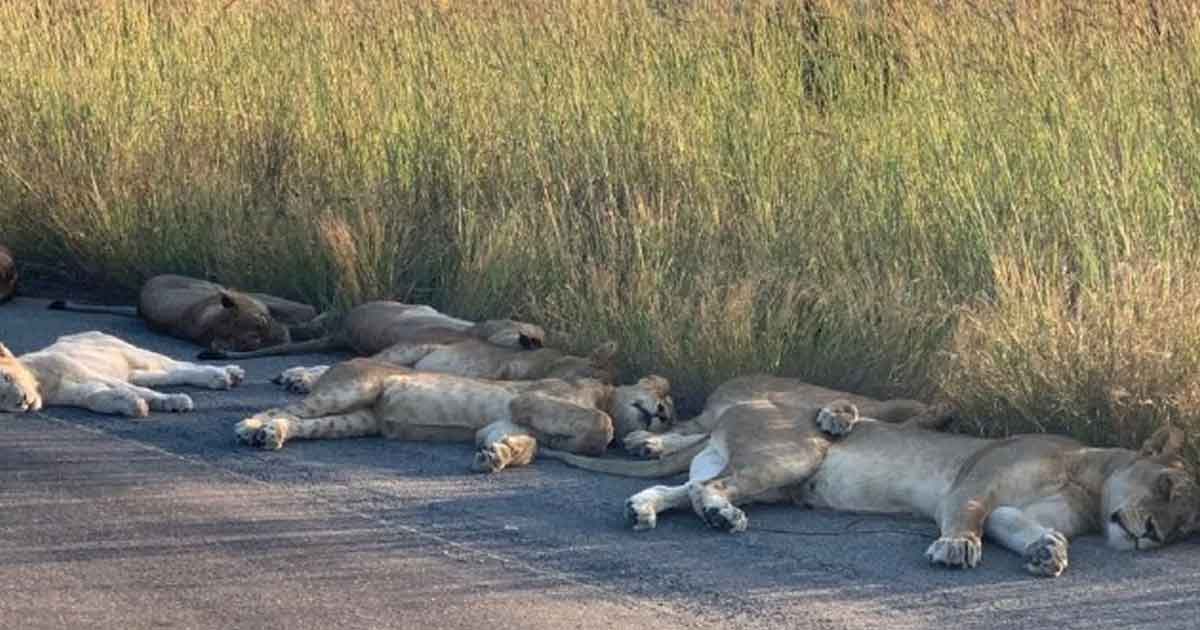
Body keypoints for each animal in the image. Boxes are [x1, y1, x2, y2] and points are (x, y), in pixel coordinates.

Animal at [0, 331, 246, 417]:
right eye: (1, 399)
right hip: (137, 371)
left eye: (6, 377)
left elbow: (138, 391)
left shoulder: (86, 372)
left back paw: (225, 374)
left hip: (135, 353)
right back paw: (228, 376)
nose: (22, 401)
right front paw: (133, 406)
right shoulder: (80, 392)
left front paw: (174, 401)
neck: (42, 384)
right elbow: (97, 398)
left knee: (180, 365)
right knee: (169, 375)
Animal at [233, 357, 674, 473]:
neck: (605, 394)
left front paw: (496, 457)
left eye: (671, 415)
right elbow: (603, 425)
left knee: (301, 422)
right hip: (353, 387)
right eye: (662, 397)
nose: (661, 415)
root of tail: (344, 361)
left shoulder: (500, 423)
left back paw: (272, 435)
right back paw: (248, 427)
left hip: (354, 421)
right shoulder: (528, 399)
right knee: (283, 407)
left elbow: (524, 446)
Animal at [608, 397, 1200, 578]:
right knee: (710, 489)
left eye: (1186, 527)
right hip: (793, 454)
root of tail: (737, 405)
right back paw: (721, 517)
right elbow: (966, 516)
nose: (1153, 534)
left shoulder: (1011, 510)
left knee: (687, 488)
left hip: (769, 477)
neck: (1088, 484)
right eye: (1166, 484)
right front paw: (957, 547)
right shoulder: (973, 483)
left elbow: (1020, 527)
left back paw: (643, 509)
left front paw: (1048, 551)